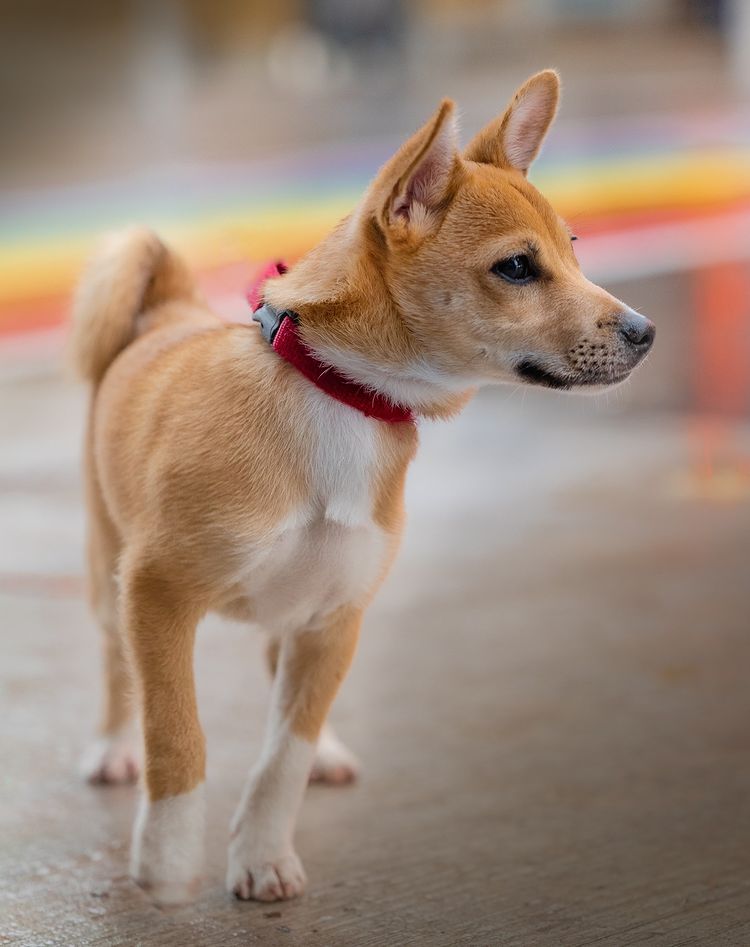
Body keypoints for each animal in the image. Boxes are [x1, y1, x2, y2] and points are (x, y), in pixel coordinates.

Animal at [70, 72, 656, 904]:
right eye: (517, 267)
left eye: (573, 251)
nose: (646, 332)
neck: (341, 395)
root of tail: (170, 305)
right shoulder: (157, 595)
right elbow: (176, 734)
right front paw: (166, 860)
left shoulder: (336, 616)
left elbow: (283, 752)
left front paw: (262, 851)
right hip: (108, 571)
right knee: (117, 665)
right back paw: (114, 745)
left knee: (280, 679)